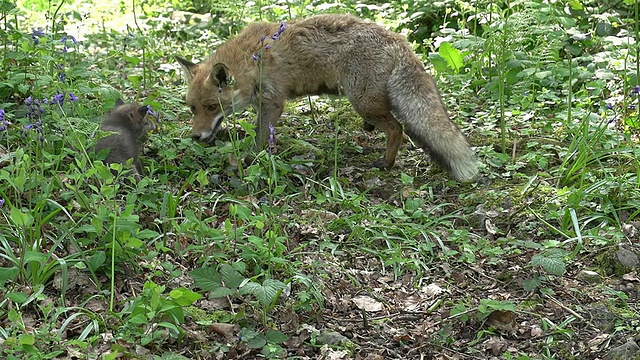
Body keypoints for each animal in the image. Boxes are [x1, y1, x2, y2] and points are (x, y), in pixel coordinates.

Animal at [178, 13, 478, 181]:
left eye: (211, 106)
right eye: (193, 109)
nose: (196, 137)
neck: (251, 60)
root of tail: (398, 39)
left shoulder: (273, 103)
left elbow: (260, 139)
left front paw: (251, 160)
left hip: (363, 102)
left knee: (398, 129)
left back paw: (386, 163)